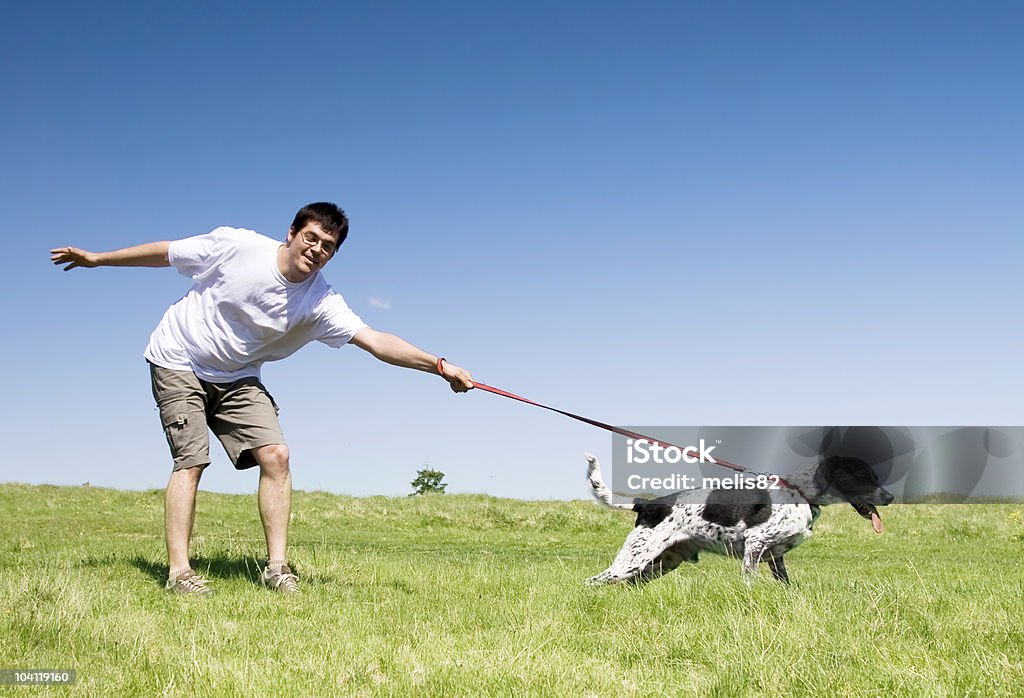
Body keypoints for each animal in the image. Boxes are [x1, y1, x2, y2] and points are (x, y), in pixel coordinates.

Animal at [589, 448, 892, 585]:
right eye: (863, 477)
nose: (889, 498)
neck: (799, 493)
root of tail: (647, 505)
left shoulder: (776, 557)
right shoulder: (755, 545)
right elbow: (750, 582)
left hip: (657, 565)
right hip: (631, 561)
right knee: (593, 582)